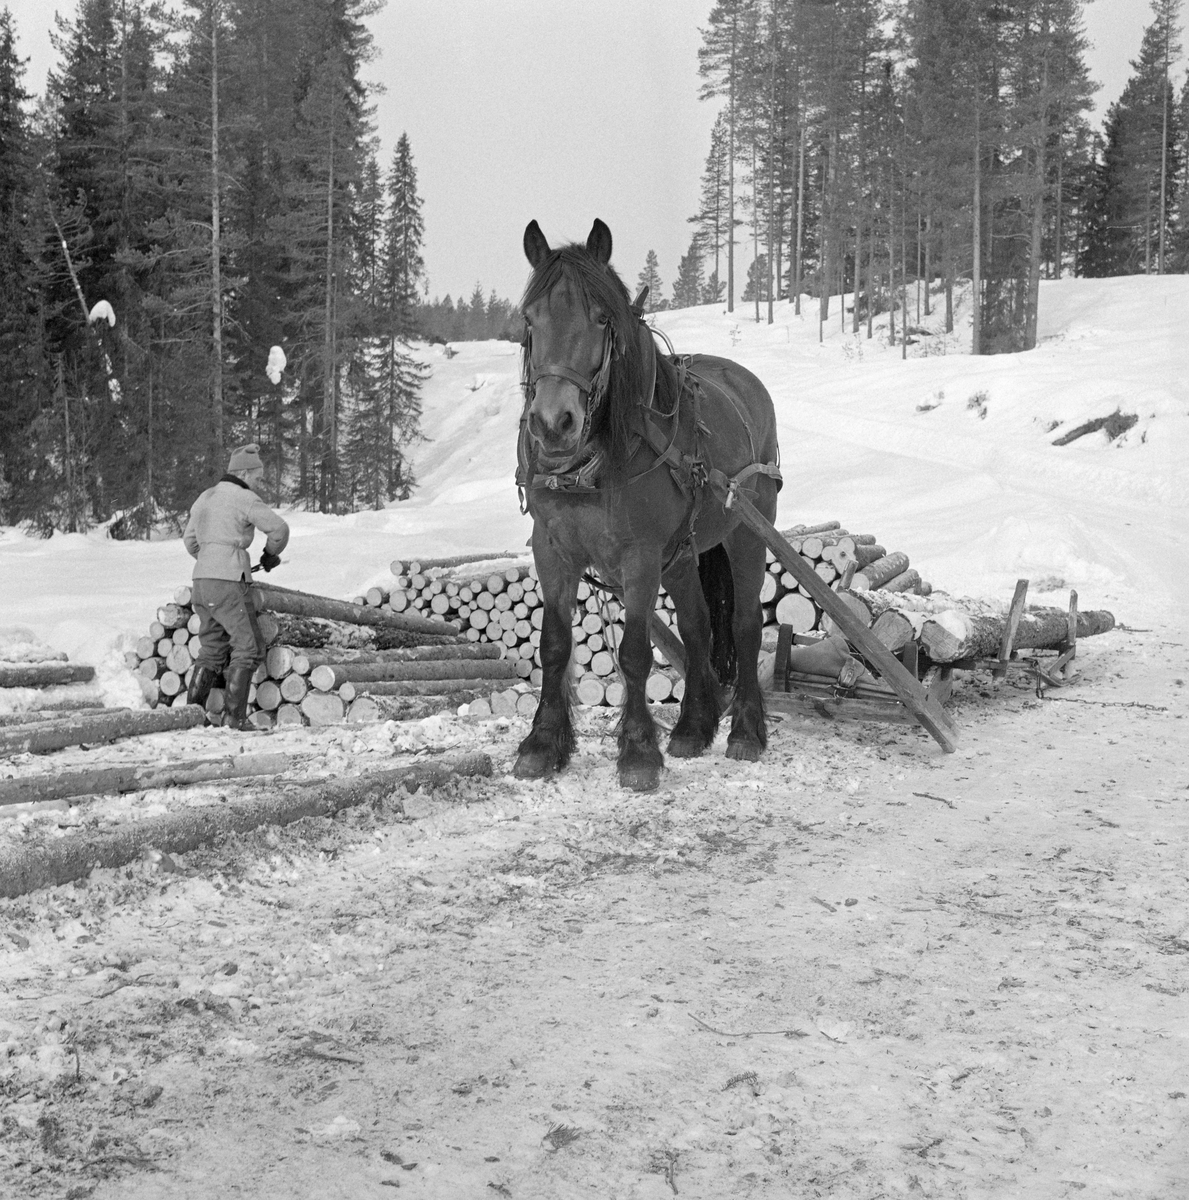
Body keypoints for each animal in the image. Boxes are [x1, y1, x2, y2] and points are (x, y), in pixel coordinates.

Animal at [513, 219, 782, 792]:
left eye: (602, 318)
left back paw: (746, 731)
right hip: (680, 555)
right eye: (530, 318)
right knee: (699, 625)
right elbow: (554, 646)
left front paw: (638, 752)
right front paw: (543, 744)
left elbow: (635, 653)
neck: (590, 465)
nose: (552, 423)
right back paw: (693, 727)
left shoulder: (638, 556)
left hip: (748, 532)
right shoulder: (551, 549)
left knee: (746, 622)